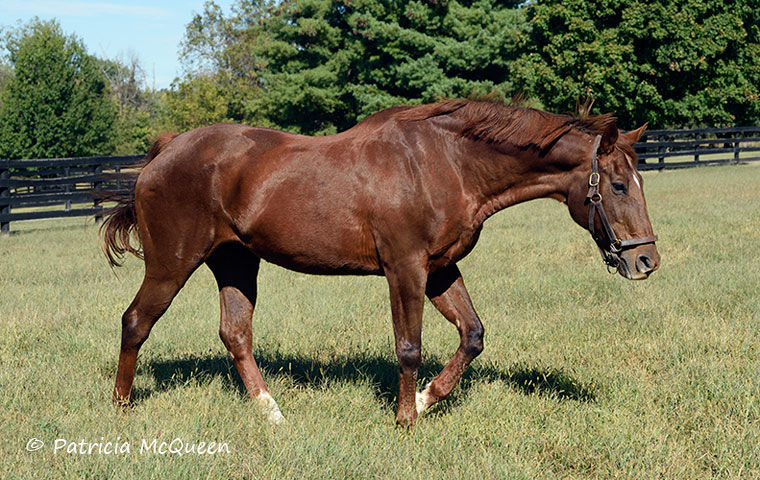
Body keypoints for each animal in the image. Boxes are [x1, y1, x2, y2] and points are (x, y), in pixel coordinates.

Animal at [102, 100, 660, 424]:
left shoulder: (440, 269)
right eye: (616, 185)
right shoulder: (405, 268)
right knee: (135, 321)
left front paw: (426, 400)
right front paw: (405, 420)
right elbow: (409, 348)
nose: (647, 260)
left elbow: (473, 336)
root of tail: (165, 149)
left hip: (236, 263)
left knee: (235, 333)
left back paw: (270, 411)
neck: (445, 162)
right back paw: (121, 406)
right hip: (173, 264)